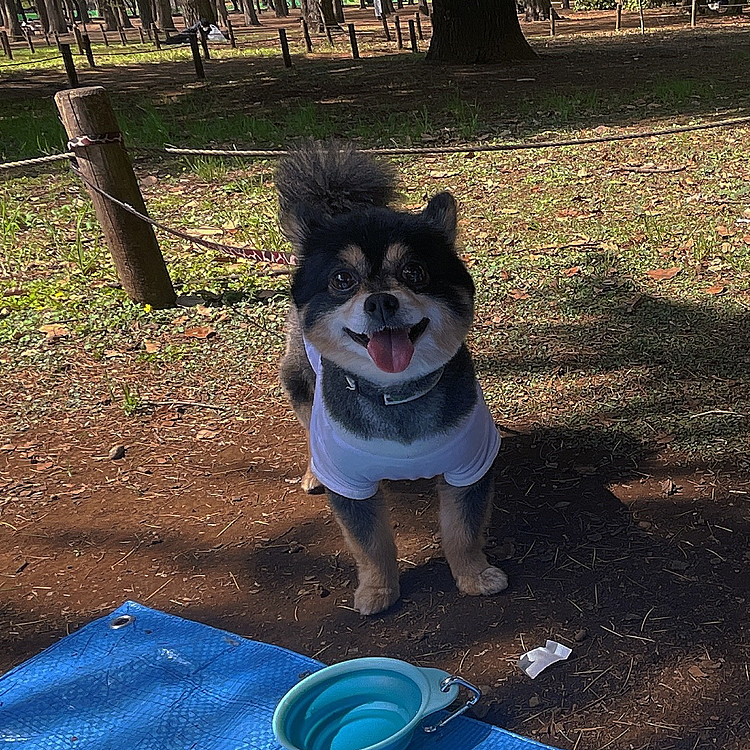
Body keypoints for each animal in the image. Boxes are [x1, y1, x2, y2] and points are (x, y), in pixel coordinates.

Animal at [280, 142, 508, 616]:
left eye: (414, 273)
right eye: (342, 279)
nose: (381, 301)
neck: (397, 394)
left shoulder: (470, 467)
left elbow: (462, 530)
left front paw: (474, 576)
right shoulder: (350, 485)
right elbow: (371, 544)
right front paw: (377, 590)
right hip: (299, 380)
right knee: (308, 424)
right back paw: (312, 472)